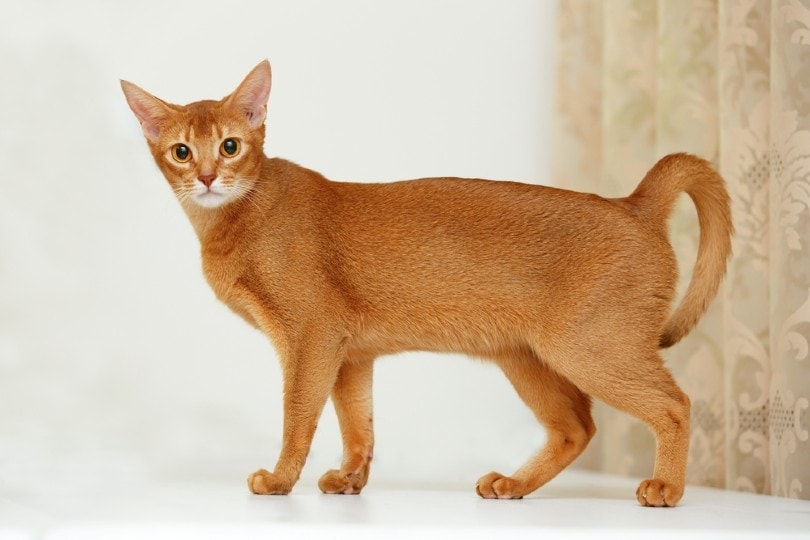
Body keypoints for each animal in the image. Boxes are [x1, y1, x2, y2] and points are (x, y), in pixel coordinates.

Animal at [120, 59, 732, 506]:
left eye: (230, 146)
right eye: (181, 151)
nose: (206, 177)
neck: (241, 217)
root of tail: (634, 204)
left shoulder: (309, 338)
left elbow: (298, 416)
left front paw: (279, 480)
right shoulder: (350, 354)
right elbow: (358, 425)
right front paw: (350, 480)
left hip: (590, 347)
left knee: (674, 404)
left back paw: (667, 487)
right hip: (527, 356)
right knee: (576, 427)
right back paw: (513, 485)